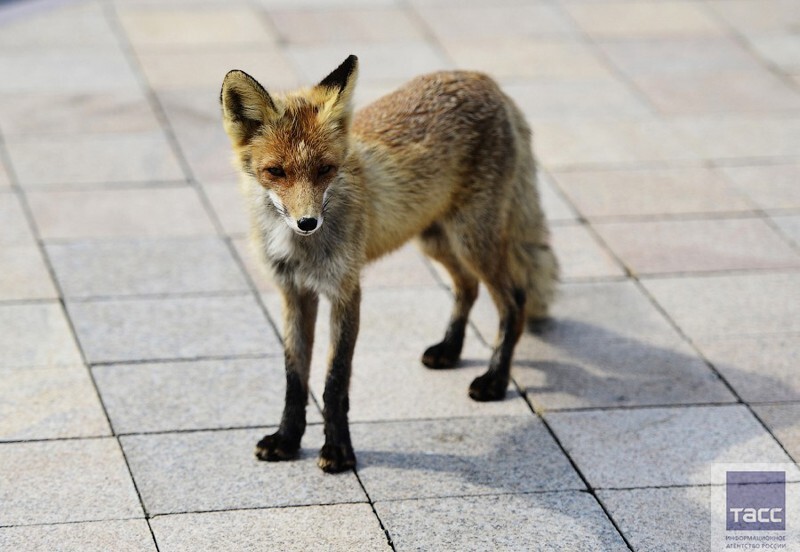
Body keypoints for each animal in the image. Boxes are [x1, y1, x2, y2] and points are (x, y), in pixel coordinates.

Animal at [219, 54, 556, 472]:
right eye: (276, 172)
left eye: (325, 169)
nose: (307, 222)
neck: (301, 249)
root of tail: (478, 76)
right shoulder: (294, 293)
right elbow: (294, 380)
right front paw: (287, 440)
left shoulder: (346, 292)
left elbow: (334, 383)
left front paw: (338, 451)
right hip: (435, 239)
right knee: (468, 287)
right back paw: (450, 349)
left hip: (472, 240)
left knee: (515, 300)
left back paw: (495, 379)